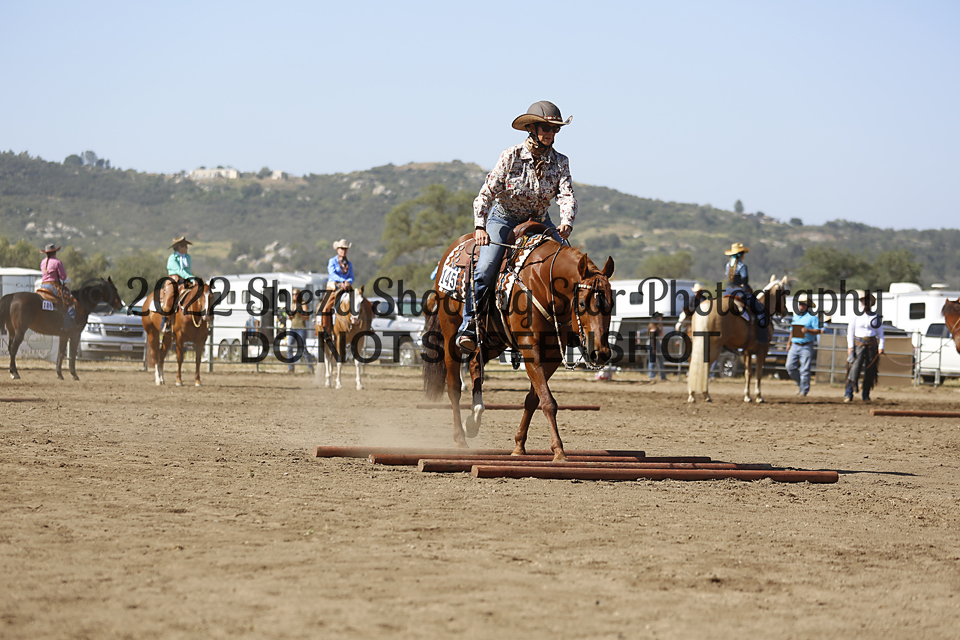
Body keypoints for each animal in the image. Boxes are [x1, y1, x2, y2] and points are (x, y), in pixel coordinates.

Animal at [422, 227, 615, 461]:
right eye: (581, 303)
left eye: (611, 303)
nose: (601, 353)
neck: (543, 281)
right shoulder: (529, 346)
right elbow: (548, 401)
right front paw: (559, 450)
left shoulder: (551, 355)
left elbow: (534, 399)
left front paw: (519, 445)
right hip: (451, 335)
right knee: (454, 386)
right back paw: (460, 438)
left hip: (493, 340)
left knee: (476, 364)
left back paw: (475, 419)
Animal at [683, 275, 789, 403]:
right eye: (784, 293)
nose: (785, 311)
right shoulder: (762, 349)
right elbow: (758, 373)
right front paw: (759, 396)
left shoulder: (748, 351)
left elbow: (748, 373)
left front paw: (747, 396)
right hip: (715, 346)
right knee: (705, 366)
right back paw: (706, 394)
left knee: (693, 364)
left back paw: (692, 394)